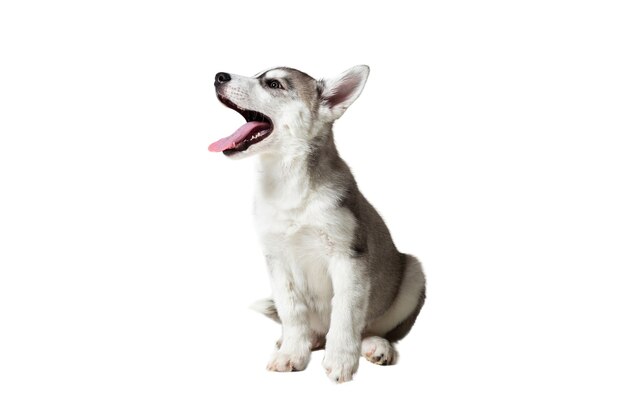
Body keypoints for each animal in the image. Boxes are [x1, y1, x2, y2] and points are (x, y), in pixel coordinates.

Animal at [208, 66, 424, 384]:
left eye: (274, 84)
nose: (219, 76)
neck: (288, 185)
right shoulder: (277, 260)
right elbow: (291, 311)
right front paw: (291, 353)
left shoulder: (348, 257)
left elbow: (346, 314)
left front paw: (341, 361)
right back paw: (303, 339)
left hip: (414, 273)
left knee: (373, 328)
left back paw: (375, 346)